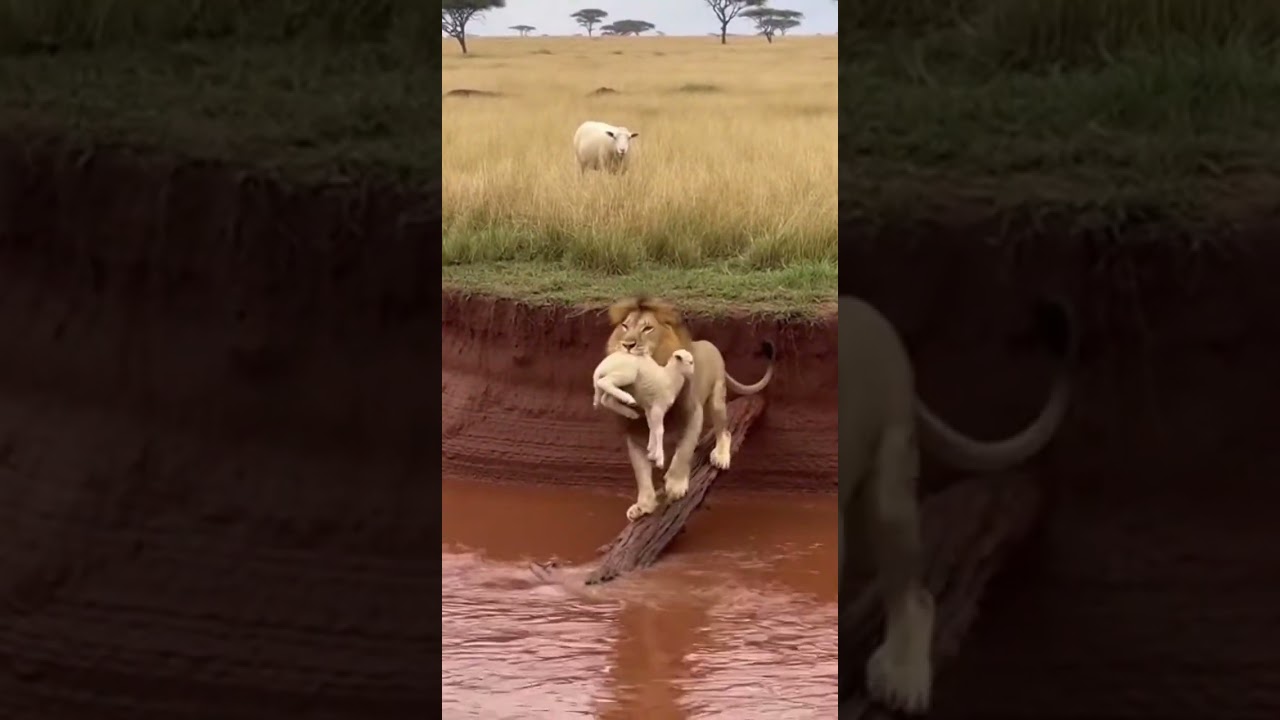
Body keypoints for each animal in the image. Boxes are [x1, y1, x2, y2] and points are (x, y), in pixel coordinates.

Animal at [596, 296, 775, 522]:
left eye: (647, 328)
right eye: (625, 326)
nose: (627, 345)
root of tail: (707, 343)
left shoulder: (693, 414)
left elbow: (683, 452)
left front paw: (675, 485)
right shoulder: (634, 434)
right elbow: (641, 472)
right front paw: (644, 505)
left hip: (717, 399)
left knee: (723, 431)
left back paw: (721, 456)